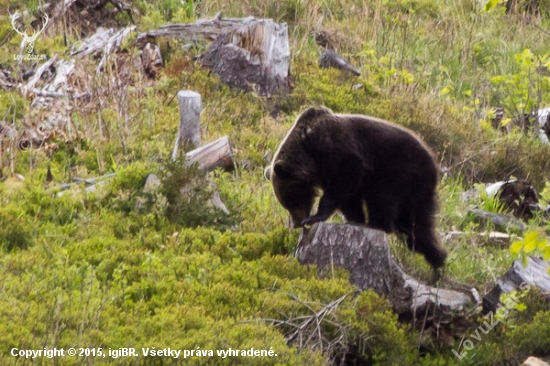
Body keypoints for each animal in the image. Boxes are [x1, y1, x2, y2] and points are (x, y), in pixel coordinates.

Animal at [266, 106, 450, 272]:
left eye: (290, 201)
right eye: (286, 204)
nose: (297, 223)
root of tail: (433, 162)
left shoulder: (339, 151)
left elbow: (344, 183)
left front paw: (315, 217)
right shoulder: (326, 170)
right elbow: (348, 199)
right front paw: (355, 219)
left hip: (399, 169)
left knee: (382, 197)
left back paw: (378, 225)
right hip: (419, 191)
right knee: (416, 227)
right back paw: (438, 263)